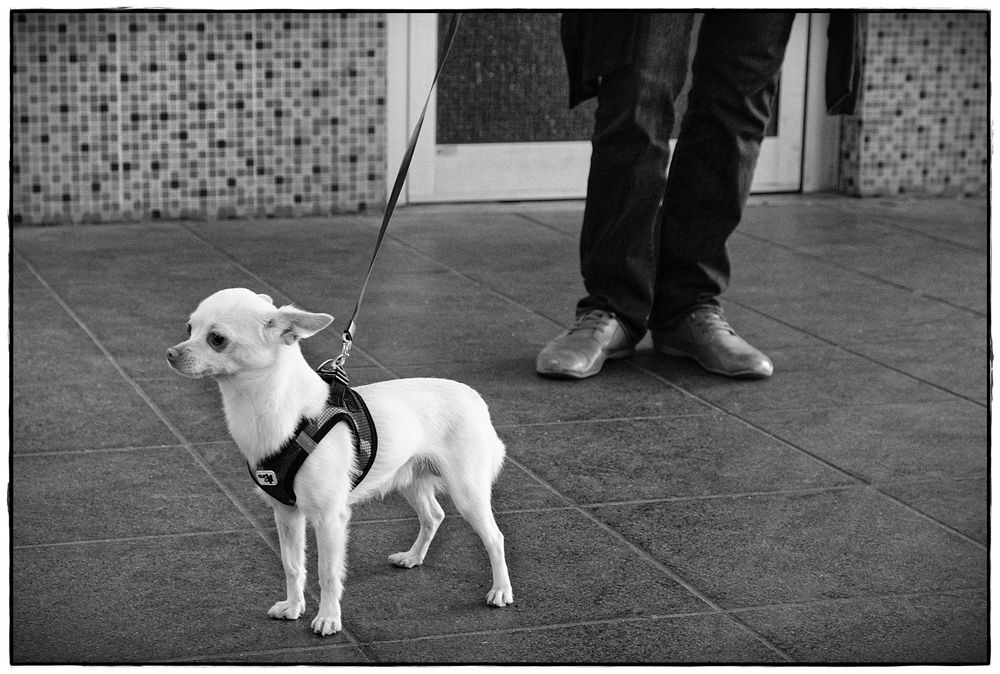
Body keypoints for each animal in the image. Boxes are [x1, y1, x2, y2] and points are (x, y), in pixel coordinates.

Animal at [167, 286, 512, 632]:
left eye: (217, 339)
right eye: (189, 328)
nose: (171, 352)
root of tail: (474, 397)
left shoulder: (329, 519)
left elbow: (328, 572)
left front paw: (328, 618)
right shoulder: (286, 514)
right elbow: (292, 565)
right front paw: (294, 606)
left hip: (467, 493)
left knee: (495, 538)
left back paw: (500, 590)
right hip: (411, 480)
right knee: (434, 516)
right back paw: (413, 557)